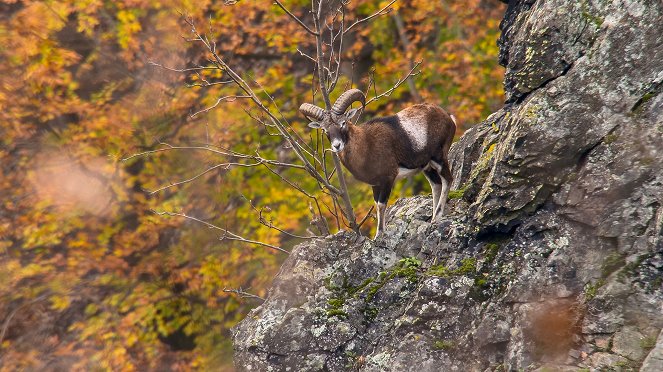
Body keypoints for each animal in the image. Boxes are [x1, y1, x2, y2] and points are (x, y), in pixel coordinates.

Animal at [302, 88, 456, 237]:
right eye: (324, 129)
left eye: (343, 123)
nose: (337, 145)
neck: (367, 145)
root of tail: (449, 118)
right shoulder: (375, 184)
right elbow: (377, 205)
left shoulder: (388, 179)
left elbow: (381, 205)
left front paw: (380, 234)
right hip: (427, 168)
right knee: (436, 185)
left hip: (439, 159)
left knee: (447, 180)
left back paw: (437, 216)